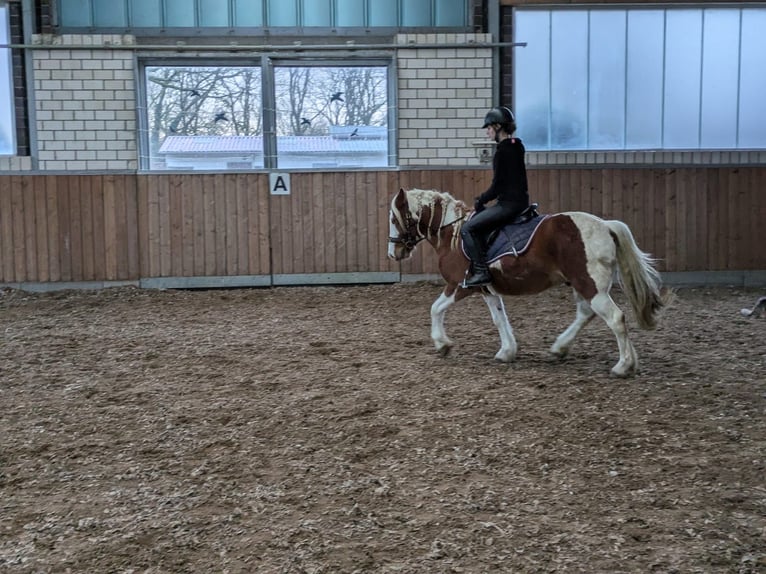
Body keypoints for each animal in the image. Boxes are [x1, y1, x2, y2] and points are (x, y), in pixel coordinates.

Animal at [390, 187, 672, 380]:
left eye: (393, 219)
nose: (394, 254)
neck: (454, 234)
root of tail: (605, 225)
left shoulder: (459, 285)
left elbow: (435, 309)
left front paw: (442, 344)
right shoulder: (486, 288)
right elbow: (499, 319)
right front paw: (507, 352)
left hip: (590, 284)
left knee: (615, 318)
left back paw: (622, 366)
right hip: (582, 283)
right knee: (587, 314)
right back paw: (563, 349)